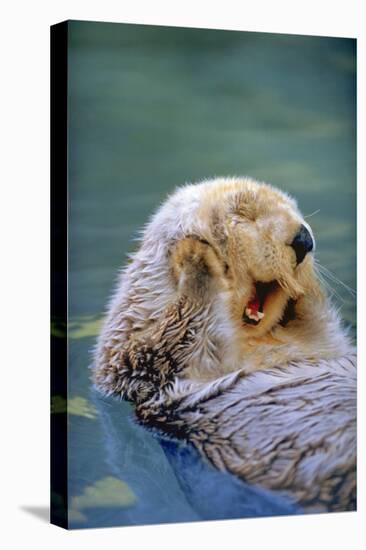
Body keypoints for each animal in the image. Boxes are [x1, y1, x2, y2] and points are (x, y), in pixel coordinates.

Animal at [92, 179, 358, 516]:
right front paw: (195, 256)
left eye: (296, 211)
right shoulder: (140, 362)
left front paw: (306, 287)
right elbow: (176, 337)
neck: (256, 342)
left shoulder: (319, 343)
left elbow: (321, 328)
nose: (304, 239)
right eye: (244, 215)